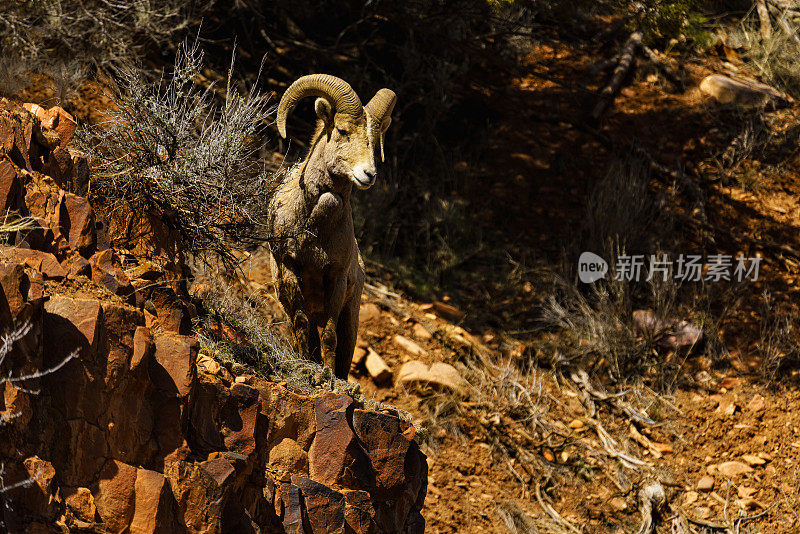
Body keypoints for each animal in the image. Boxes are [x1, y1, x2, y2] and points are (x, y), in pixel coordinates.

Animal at [268, 74, 396, 382]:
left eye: (373, 141)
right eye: (342, 130)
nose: (369, 174)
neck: (314, 232)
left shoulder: (335, 279)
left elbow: (328, 336)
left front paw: (327, 376)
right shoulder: (289, 269)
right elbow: (303, 325)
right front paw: (306, 368)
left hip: (351, 318)